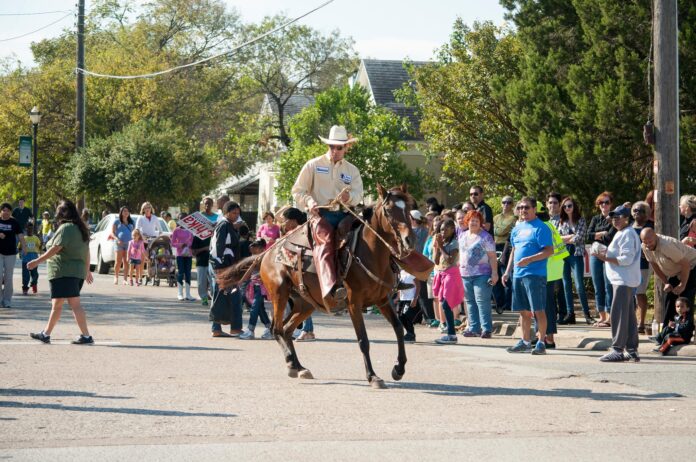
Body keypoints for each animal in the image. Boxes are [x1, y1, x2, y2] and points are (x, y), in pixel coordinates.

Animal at [218, 184, 418, 390]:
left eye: (409, 208)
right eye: (388, 210)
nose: (409, 240)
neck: (371, 253)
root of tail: (266, 253)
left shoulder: (382, 300)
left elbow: (398, 328)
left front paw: (399, 369)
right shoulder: (354, 303)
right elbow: (363, 340)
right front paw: (373, 376)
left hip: (305, 303)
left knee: (287, 329)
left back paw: (299, 367)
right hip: (279, 294)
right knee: (277, 328)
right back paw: (291, 364)